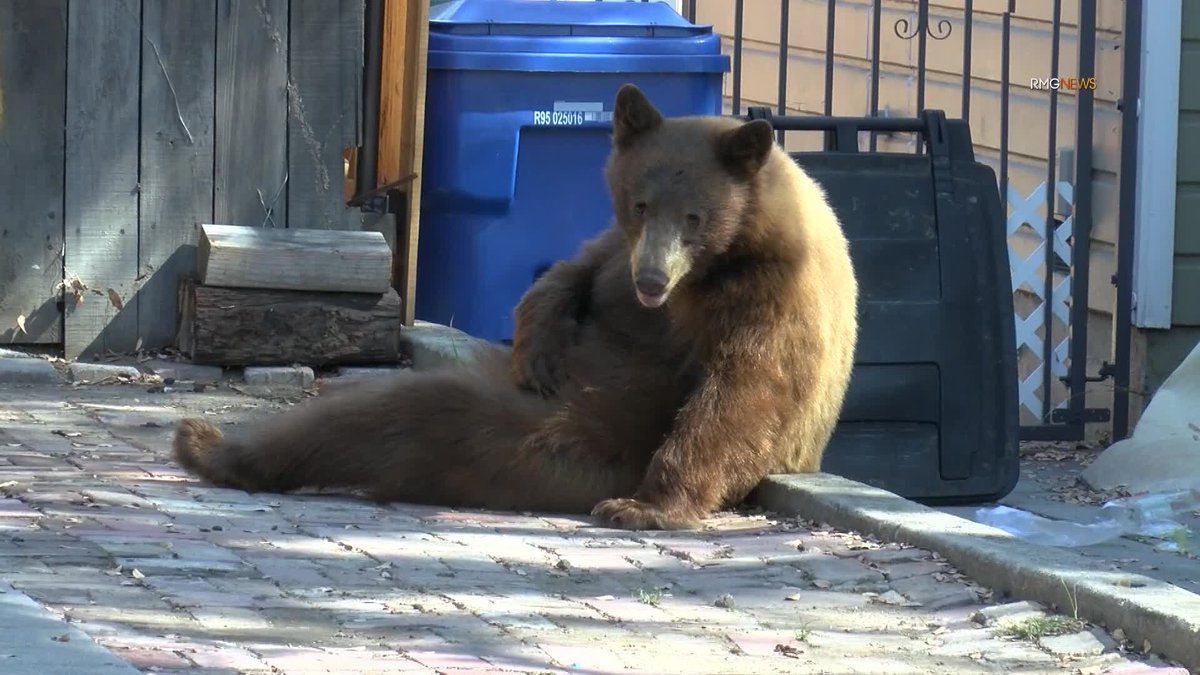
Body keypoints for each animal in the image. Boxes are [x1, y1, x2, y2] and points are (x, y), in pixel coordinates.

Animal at [172, 83, 860, 531]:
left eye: (694, 217)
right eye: (639, 203)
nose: (652, 279)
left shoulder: (770, 297)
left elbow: (742, 394)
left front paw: (647, 505)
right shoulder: (616, 253)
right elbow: (570, 272)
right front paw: (537, 345)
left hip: (585, 440)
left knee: (404, 415)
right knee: (369, 413)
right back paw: (210, 444)